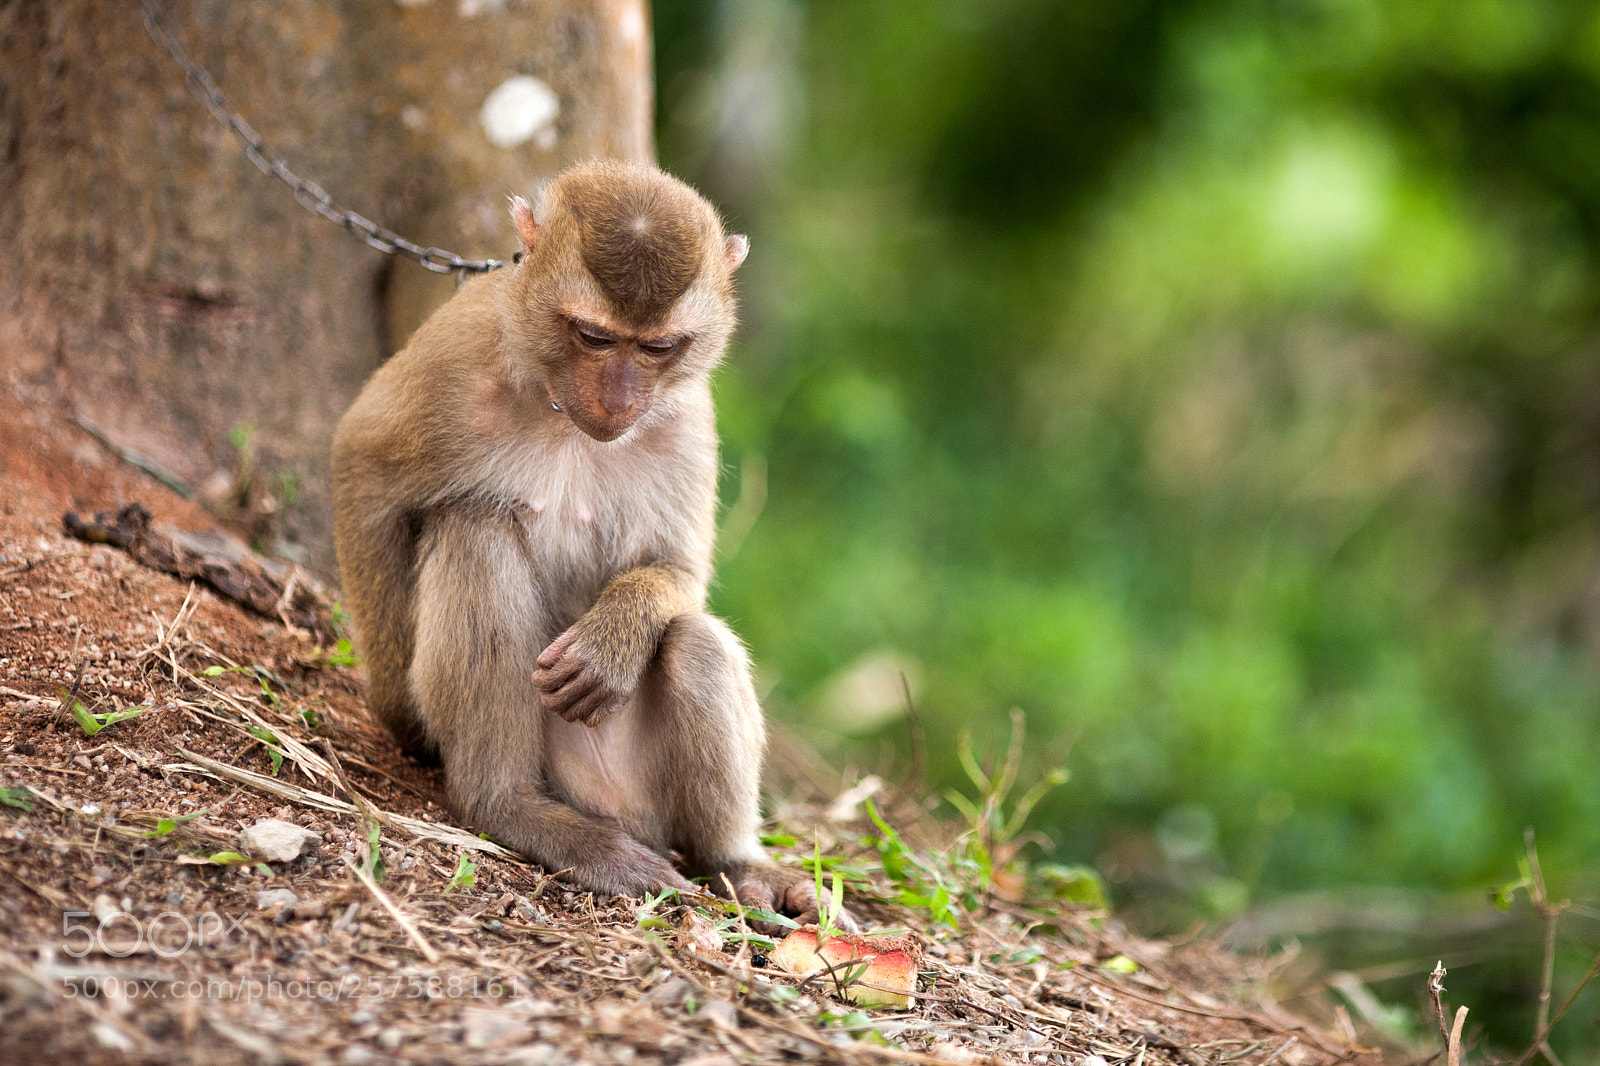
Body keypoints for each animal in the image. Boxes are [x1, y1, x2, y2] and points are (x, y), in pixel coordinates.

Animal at [331, 160, 849, 927]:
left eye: (659, 346)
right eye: (595, 336)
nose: (621, 400)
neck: (556, 403)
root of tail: (614, 808)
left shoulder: (688, 417)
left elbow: (680, 570)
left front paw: (616, 635)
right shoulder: (455, 353)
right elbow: (362, 473)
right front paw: (402, 717)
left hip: (650, 797)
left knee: (696, 641)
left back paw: (735, 863)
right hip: (560, 766)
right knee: (477, 531)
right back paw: (510, 807)